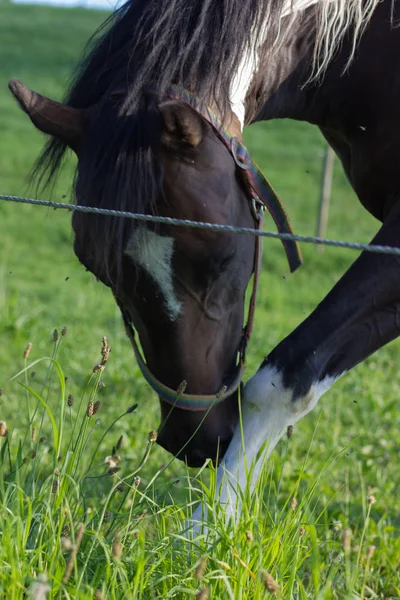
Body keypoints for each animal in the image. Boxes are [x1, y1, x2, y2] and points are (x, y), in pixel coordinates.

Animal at [8, 0, 396, 520]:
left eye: (220, 259)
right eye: (98, 268)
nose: (191, 440)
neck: (371, 41)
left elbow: (289, 371)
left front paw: (210, 526)